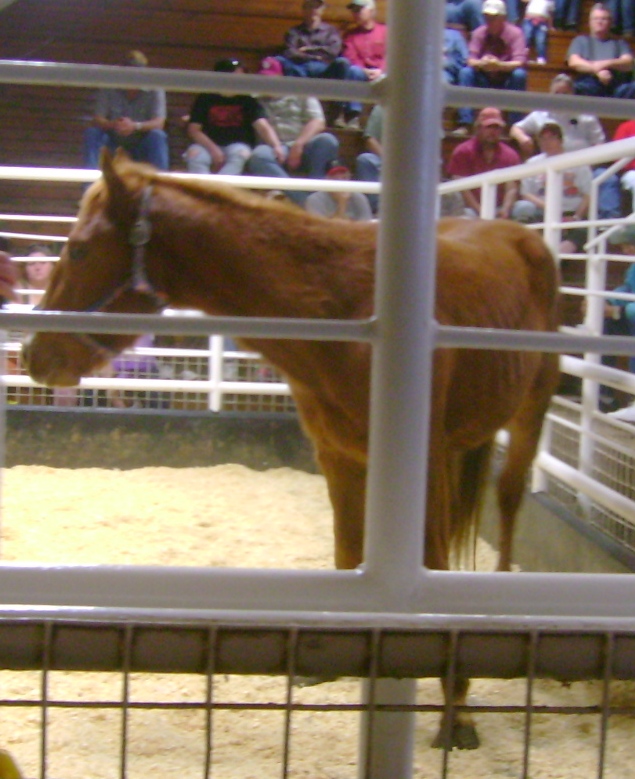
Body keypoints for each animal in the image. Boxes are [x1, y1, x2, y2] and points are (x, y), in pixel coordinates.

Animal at [23, 149, 560, 752]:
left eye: (79, 248)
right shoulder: (338, 456)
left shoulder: (419, 464)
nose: (34, 354)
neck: (349, 309)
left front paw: (459, 711)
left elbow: (432, 569)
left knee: (509, 502)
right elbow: (349, 553)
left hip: (530, 410)